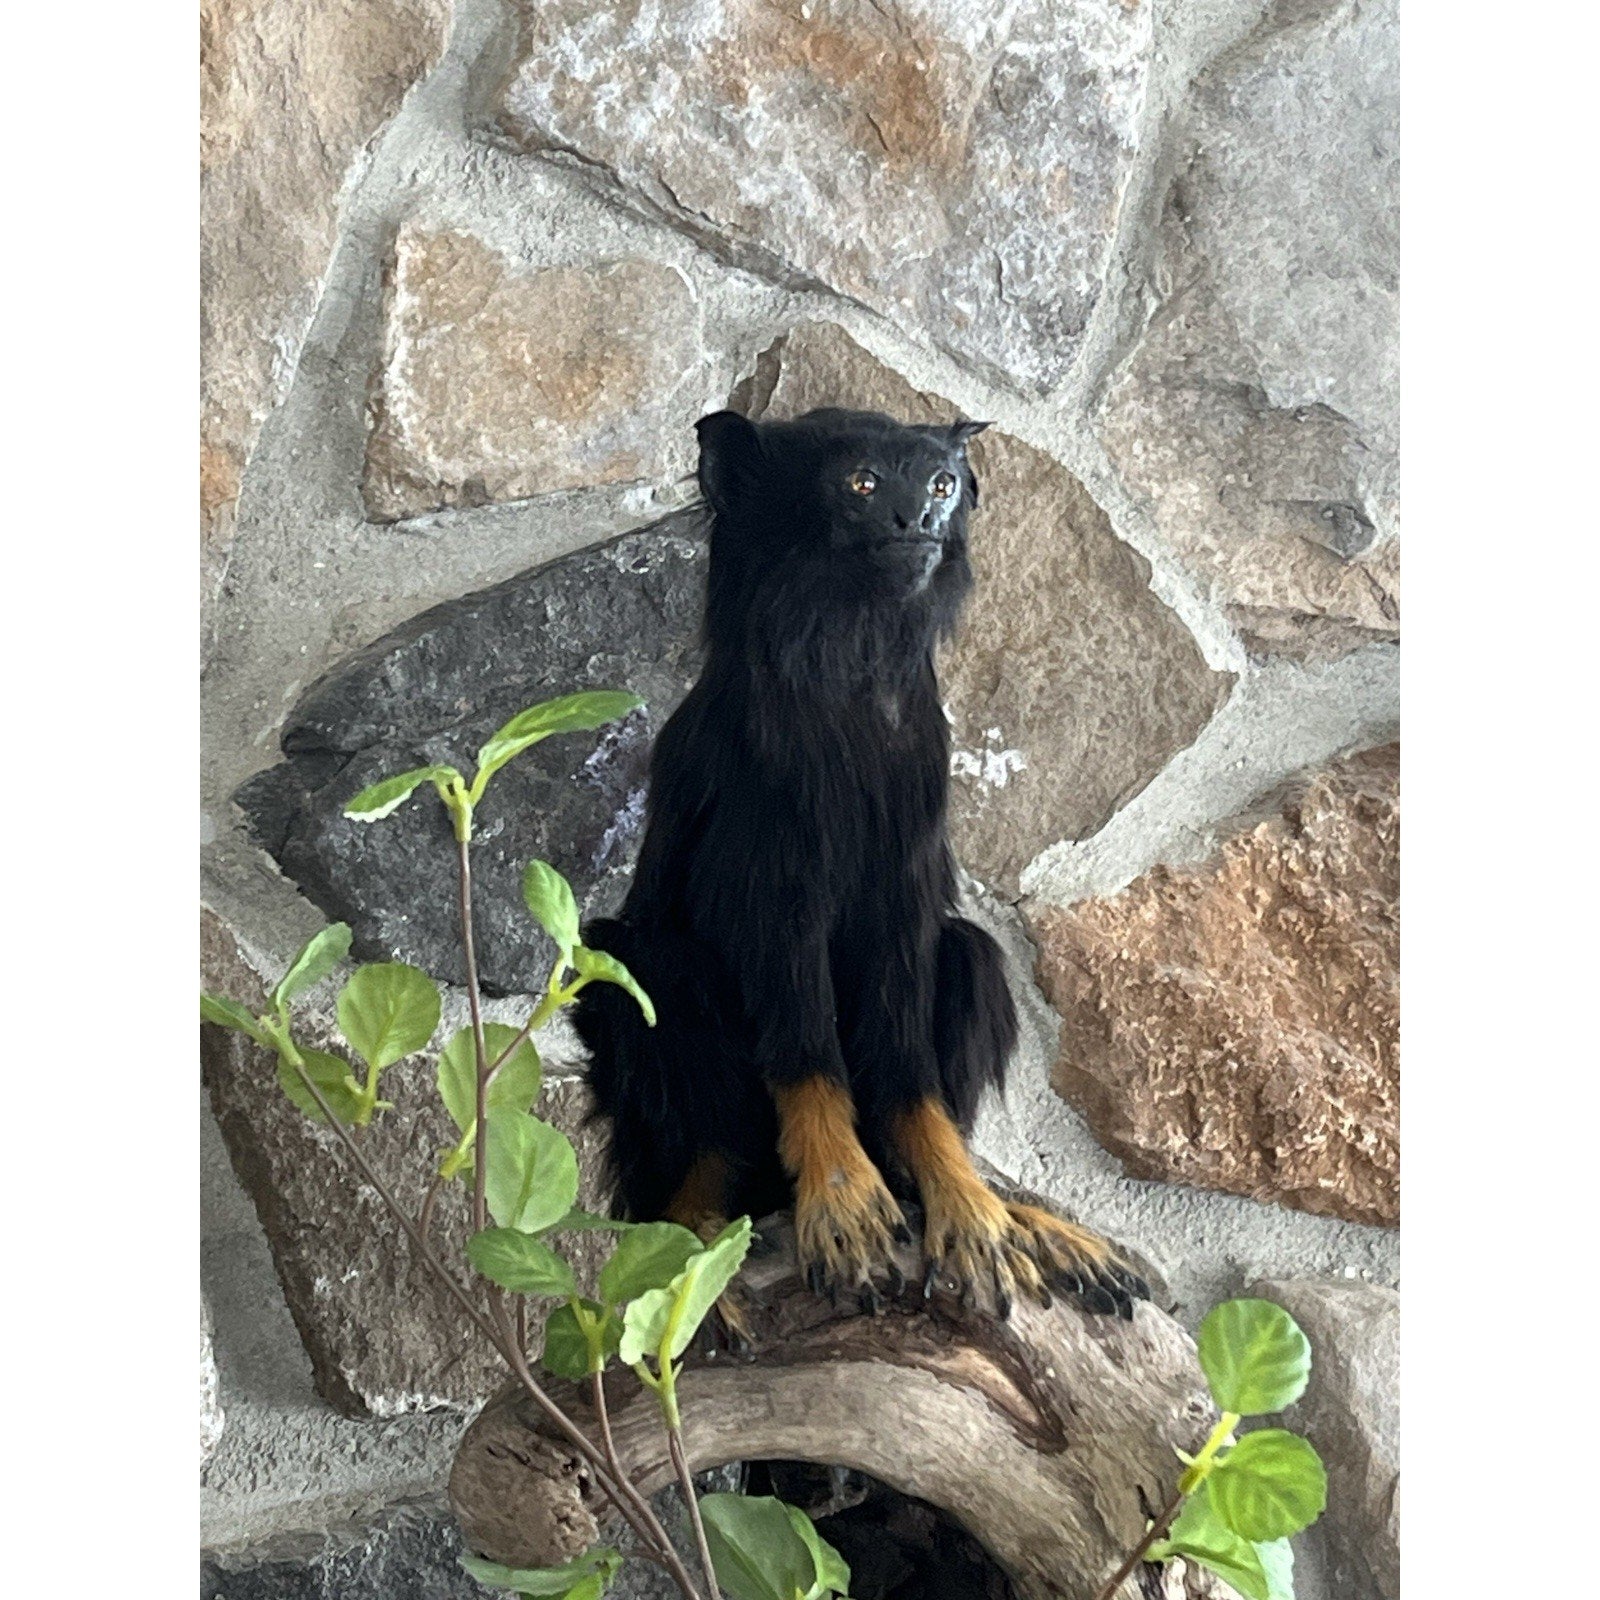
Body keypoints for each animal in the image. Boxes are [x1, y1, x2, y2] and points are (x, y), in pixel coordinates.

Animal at [572, 406, 1147, 1320]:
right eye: (863, 483)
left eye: (942, 481)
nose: (920, 519)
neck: (848, 671)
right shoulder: (773, 887)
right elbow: (803, 1046)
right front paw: (840, 1193)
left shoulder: (904, 882)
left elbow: (907, 1063)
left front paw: (968, 1204)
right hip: (645, 1013)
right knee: (658, 1012)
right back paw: (690, 1249)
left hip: (960, 958)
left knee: (970, 953)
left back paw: (1023, 1221)